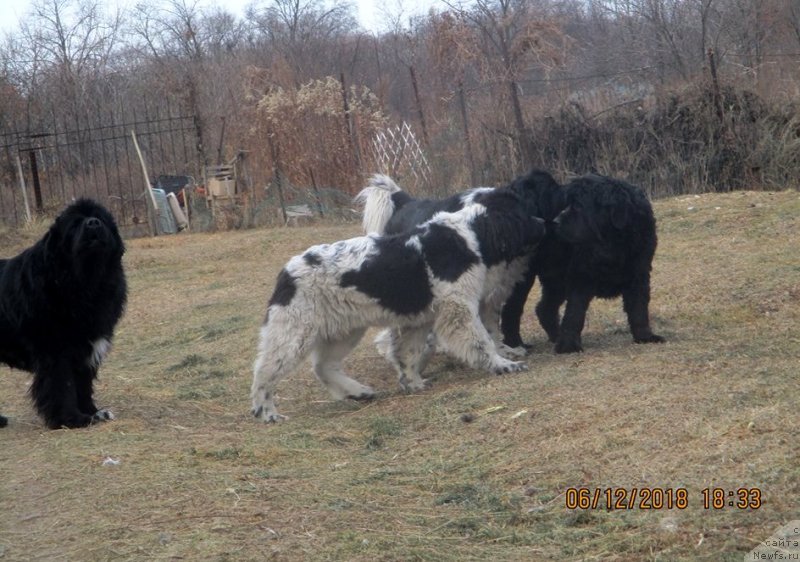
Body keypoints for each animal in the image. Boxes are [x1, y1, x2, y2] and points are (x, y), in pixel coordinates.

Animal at [0, 199, 126, 426]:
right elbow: (63, 386)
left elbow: (82, 384)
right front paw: (72, 418)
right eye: (75, 224)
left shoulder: (86, 348)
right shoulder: (56, 350)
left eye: (100, 218)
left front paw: (94, 412)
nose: (93, 223)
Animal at [250, 188, 548, 420]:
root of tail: (287, 272)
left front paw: (412, 383)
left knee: (323, 367)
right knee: (265, 371)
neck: (470, 234)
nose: (544, 222)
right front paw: (502, 364)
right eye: (524, 214)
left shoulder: (419, 321)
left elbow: (408, 354)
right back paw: (267, 412)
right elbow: (482, 342)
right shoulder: (459, 308)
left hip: (344, 330)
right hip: (294, 333)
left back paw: (358, 391)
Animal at [504, 173, 664, 352]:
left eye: (579, 206)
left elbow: (639, 308)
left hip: (556, 278)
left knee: (544, 309)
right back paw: (515, 343)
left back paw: (555, 336)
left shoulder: (639, 274)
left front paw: (645, 337)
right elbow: (575, 313)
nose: (555, 221)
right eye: (568, 203)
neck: (613, 244)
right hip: (524, 275)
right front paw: (568, 346)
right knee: (512, 309)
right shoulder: (581, 276)